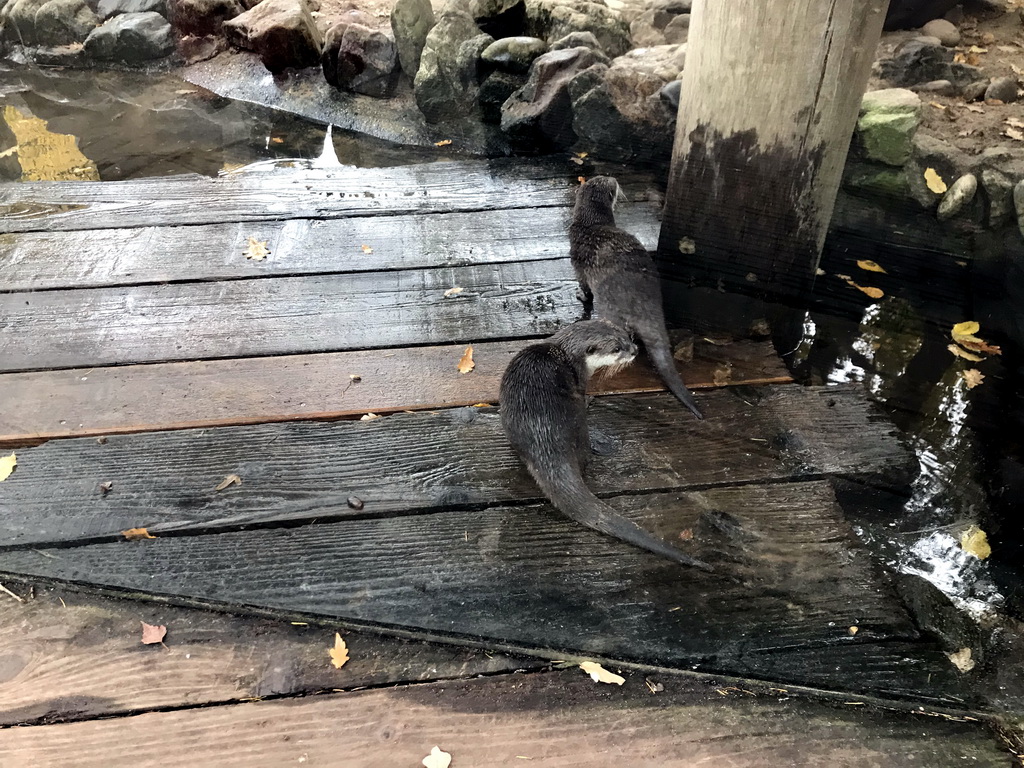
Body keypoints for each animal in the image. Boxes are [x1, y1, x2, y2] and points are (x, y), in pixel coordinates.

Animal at [497, 319, 712, 573]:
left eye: (628, 337)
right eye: (616, 349)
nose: (634, 350)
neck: (567, 353)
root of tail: (543, 434)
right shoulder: (579, 378)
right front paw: (590, 398)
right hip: (577, 422)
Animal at [569, 175, 704, 421]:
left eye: (610, 183)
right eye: (603, 179)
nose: (613, 177)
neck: (591, 225)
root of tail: (643, 304)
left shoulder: (577, 263)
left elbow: (585, 289)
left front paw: (582, 297)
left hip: (611, 308)